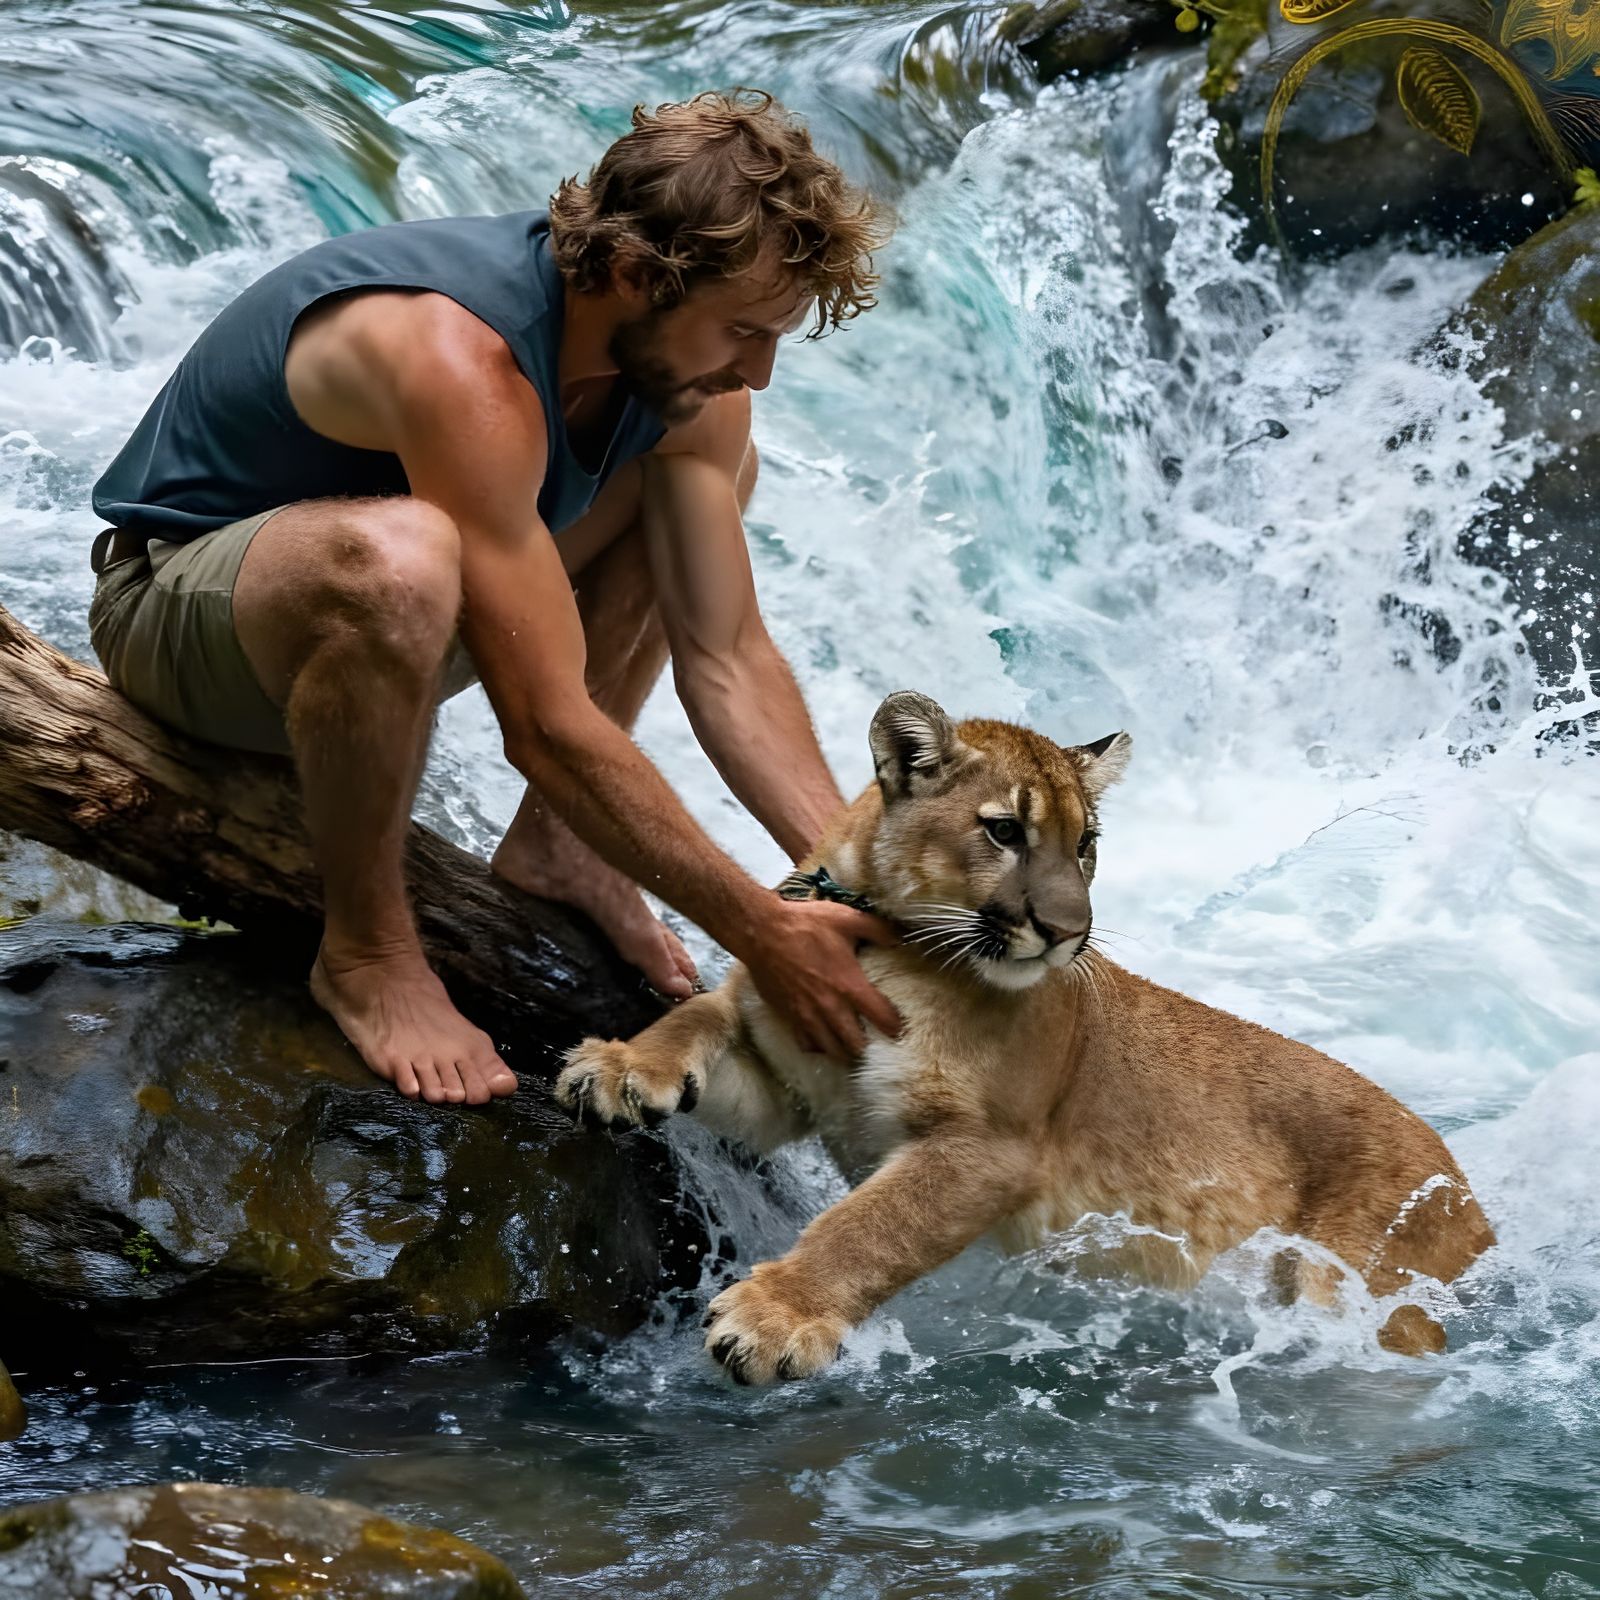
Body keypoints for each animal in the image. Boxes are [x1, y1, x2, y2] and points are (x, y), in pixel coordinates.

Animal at [556, 692, 1495, 1384]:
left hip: (1356, 1290)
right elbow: (701, 1016)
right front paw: (618, 1067)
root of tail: (1469, 1191)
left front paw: (772, 1320)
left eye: (1087, 844)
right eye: (1005, 830)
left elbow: (871, 1226)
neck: (887, 947)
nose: (1069, 933)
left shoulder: (990, 1150)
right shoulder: (788, 1083)